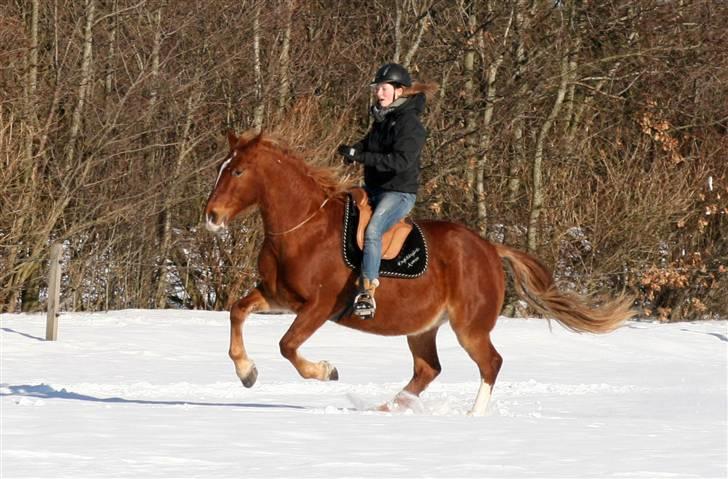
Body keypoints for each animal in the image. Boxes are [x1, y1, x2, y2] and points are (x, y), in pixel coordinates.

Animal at [205, 129, 636, 414]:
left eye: (238, 171)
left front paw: (327, 371)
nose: (211, 217)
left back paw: (472, 416)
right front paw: (246, 372)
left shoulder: (318, 306)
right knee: (429, 369)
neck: (303, 229)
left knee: (490, 363)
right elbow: (237, 311)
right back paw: (387, 409)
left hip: (469, 327)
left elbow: (288, 345)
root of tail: (489, 247)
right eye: (221, 168)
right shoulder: (278, 296)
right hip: (422, 329)